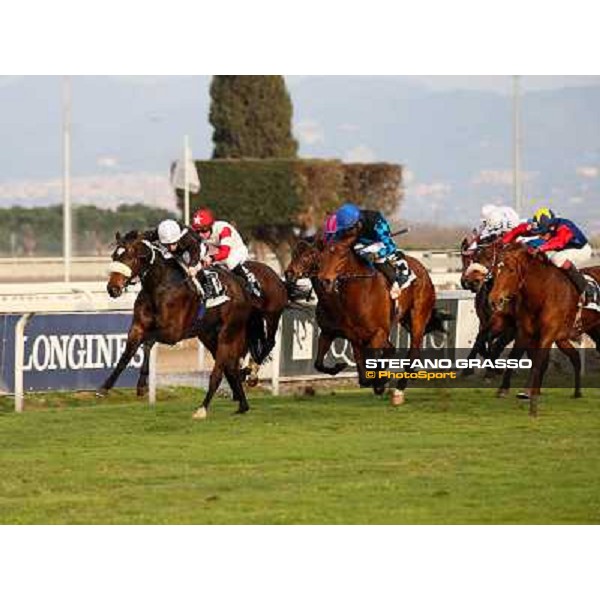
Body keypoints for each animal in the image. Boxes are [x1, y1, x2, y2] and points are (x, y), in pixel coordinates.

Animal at [104, 230, 290, 418]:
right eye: (114, 256)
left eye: (130, 257)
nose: (112, 289)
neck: (160, 287)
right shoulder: (137, 328)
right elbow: (126, 355)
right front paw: (106, 386)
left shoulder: (173, 333)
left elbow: (148, 343)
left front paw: (142, 384)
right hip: (209, 335)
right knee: (231, 366)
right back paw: (242, 403)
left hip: (240, 328)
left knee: (223, 369)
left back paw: (204, 407)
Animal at [490, 241, 600, 414]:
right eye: (495, 269)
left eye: (511, 270)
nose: (494, 300)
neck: (543, 293)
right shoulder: (525, 332)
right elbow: (514, 357)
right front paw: (504, 389)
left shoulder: (547, 334)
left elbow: (538, 362)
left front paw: (530, 393)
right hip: (577, 334)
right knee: (575, 357)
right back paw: (577, 392)